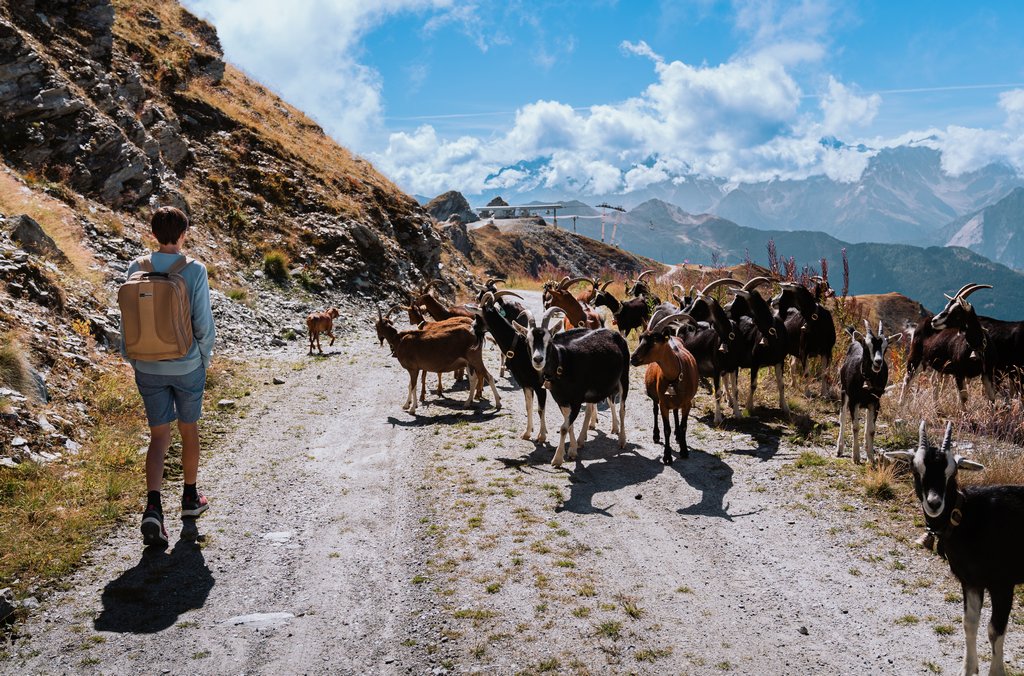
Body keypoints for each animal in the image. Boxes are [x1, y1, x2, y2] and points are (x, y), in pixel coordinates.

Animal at [475, 290, 548, 444]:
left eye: (478, 316)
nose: (473, 327)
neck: (519, 347)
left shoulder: (540, 386)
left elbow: (540, 409)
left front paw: (542, 436)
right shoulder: (526, 384)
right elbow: (529, 407)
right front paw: (528, 433)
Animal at [512, 309, 630, 467]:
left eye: (549, 341)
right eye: (527, 341)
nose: (538, 359)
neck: (562, 363)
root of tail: (616, 335)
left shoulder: (576, 400)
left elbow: (563, 427)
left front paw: (557, 459)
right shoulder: (561, 400)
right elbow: (569, 424)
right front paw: (572, 450)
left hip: (624, 377)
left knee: (622, 409)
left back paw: (622, 440)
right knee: (589, 410)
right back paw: (581, 440)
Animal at [626, 307, 700, 462]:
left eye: (654, 340)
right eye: (641, 338)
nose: (633, 358)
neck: (676, 375)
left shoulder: (687, 403)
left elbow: (684, 426)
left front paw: (684, 450)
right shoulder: (663, 404)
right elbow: (667, 429)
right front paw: (667, 456)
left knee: (676, 412)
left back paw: (678, 436)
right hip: (655, 396)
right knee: (655, 410)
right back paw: (656, 435)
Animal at [835, 321, 901, 465]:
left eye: (885, 346)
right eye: (867, 345)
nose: (878, 362)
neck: (867, 379)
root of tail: (855, 340)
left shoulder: (875, 402)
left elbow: (871, 429)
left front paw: (870, 457)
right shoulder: (854, 400)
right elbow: (855, 427)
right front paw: (856, 457)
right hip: (844, 391)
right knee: (842, 417)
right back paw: (839, 449)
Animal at [880, 421, 1024, 676]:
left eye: (953, 472)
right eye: (915, 468)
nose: (934, 503)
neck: (967, 516)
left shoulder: (1003, 584)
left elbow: (995, 630)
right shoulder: (971, 581)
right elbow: (969, 623)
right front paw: (968, 668)